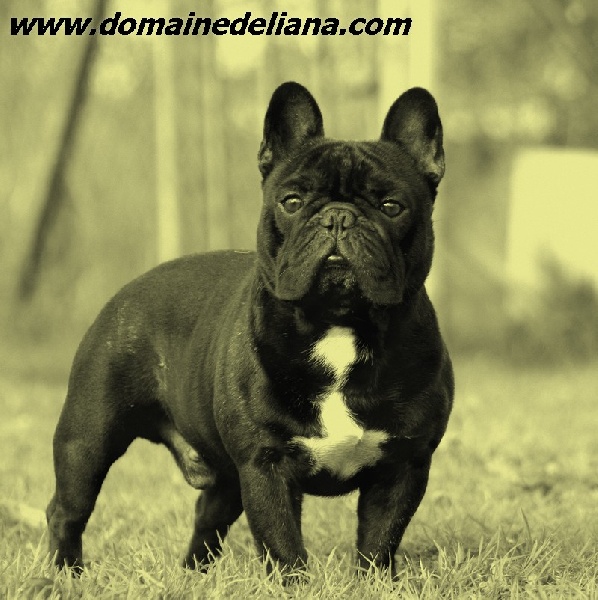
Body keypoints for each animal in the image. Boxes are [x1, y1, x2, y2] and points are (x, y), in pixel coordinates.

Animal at [47, 81, 454, 578]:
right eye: (292, 202)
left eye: (392, 207)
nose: (338, 217)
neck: (338, 322)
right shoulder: (265, 463)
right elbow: (282, 543)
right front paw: (295, 585)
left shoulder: (403, 463)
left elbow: (379, 540)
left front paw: (373, 582)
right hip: (88, 437)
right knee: (68, 508)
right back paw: (65, 572)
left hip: (224, 476)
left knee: (208, 514)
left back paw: (195, 574)